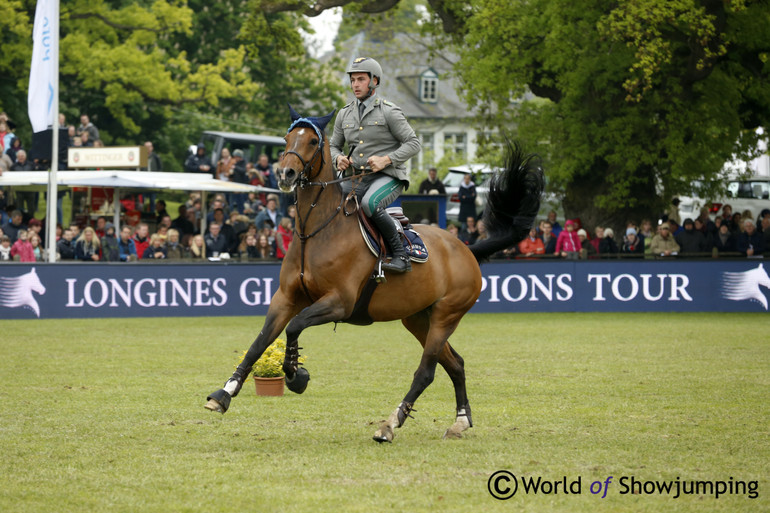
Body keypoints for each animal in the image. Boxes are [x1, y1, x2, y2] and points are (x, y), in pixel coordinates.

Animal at [202, 107, 540, 440]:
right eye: (287, 138)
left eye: (312, 141)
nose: (285, 174)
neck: (315, 233)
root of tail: (466, 248)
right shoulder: (285, 298)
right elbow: (259, 342)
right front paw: (224, 393)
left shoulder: (340, 302)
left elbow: (294, 327)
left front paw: (296, 375)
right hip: (419, 319)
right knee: (455, 363)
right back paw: (460, 421)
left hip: (446, 316)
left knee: (426, 372)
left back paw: (390, 424)